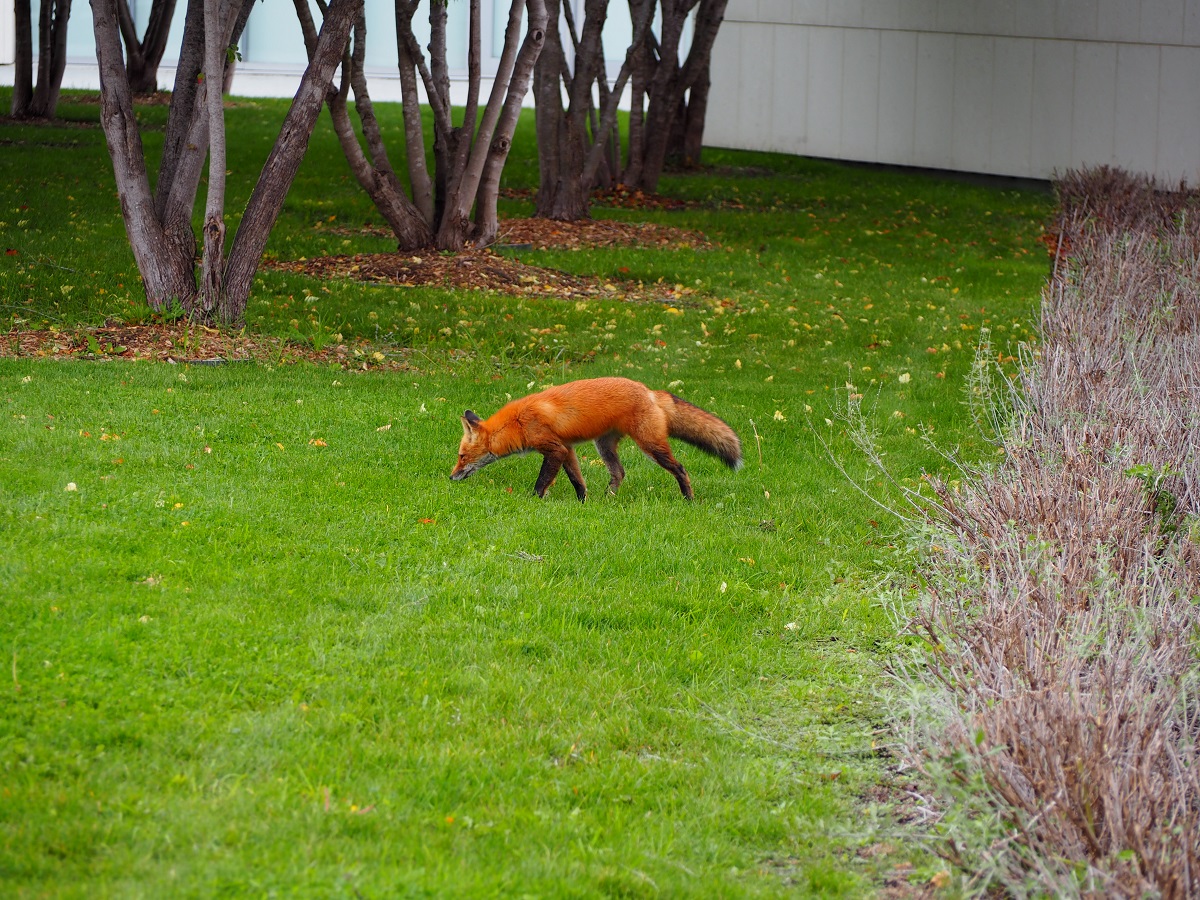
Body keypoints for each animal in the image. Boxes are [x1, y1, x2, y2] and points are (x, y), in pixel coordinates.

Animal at [450, 377, 742, 501]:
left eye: (461, 456)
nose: (451, 478)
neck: (517, 423)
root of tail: (650, 391)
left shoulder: (554, 449)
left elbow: (542, 481)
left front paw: (533, 501)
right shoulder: (567, 449)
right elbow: (578, 480)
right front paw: (582, 503)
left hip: (650, 445)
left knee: (680, 468)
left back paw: (688, 499)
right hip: (604, 446)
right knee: (620, 472)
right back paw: (608, 499)